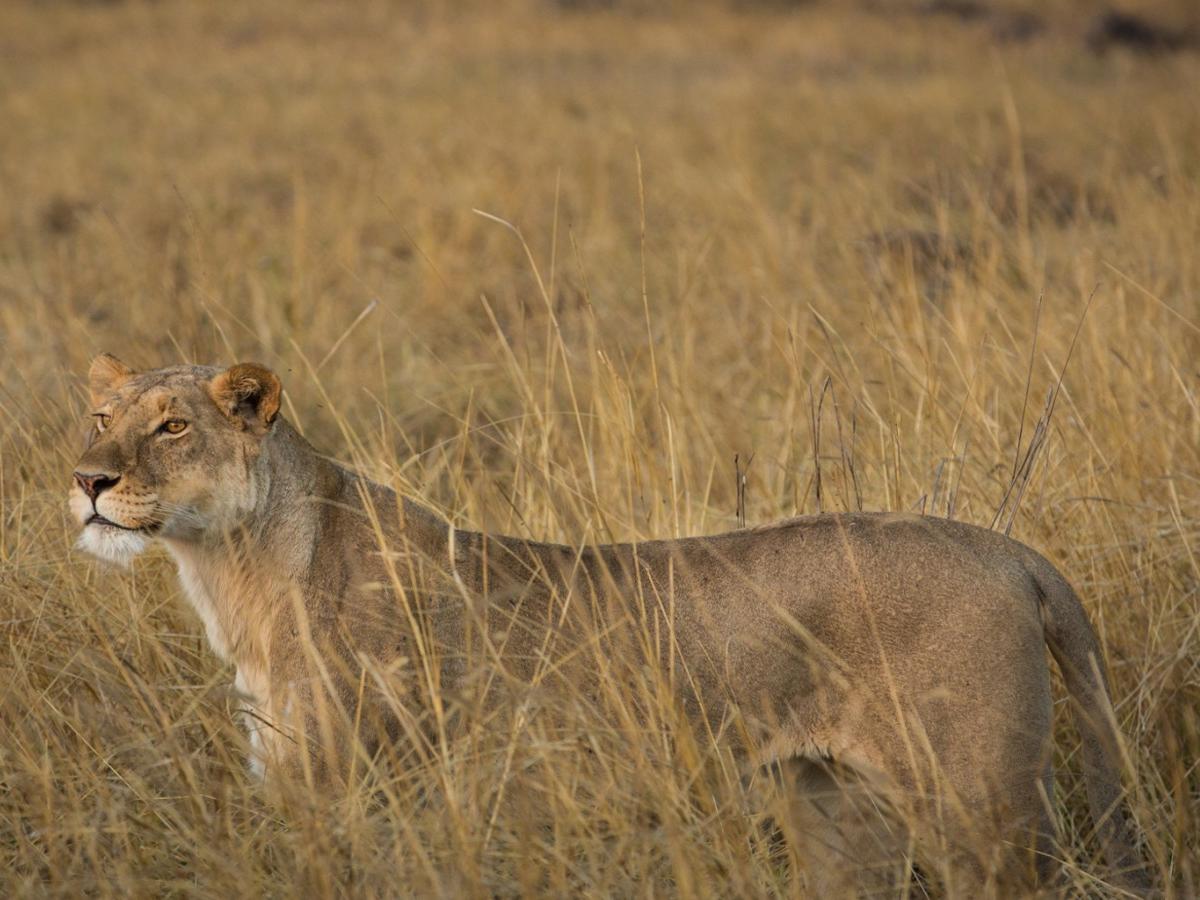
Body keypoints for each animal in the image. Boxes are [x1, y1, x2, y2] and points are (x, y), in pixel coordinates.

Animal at [70, 354, 1149, 892]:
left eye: (173, 425)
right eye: (102, 419)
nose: (86, 481)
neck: (235, 570)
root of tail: (1006, 550)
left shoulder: (350, 798)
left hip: (982, 814)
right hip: (837, 816)